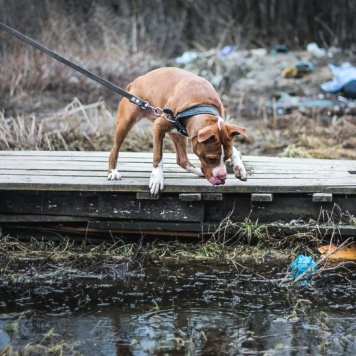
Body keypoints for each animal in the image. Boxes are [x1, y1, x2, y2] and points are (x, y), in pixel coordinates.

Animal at [108, 67, 248, 195]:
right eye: (211, 158)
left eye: (227, 157)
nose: (222, 177)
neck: (200, 105)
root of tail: (135, 82)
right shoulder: (158, 126)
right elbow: (158, 156)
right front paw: (157, 179)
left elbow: (234, 149)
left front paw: (239, 167)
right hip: (126, 123)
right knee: (114, 149)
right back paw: (113, 172)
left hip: (177, 133)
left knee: (182, 159)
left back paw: (198, 171)